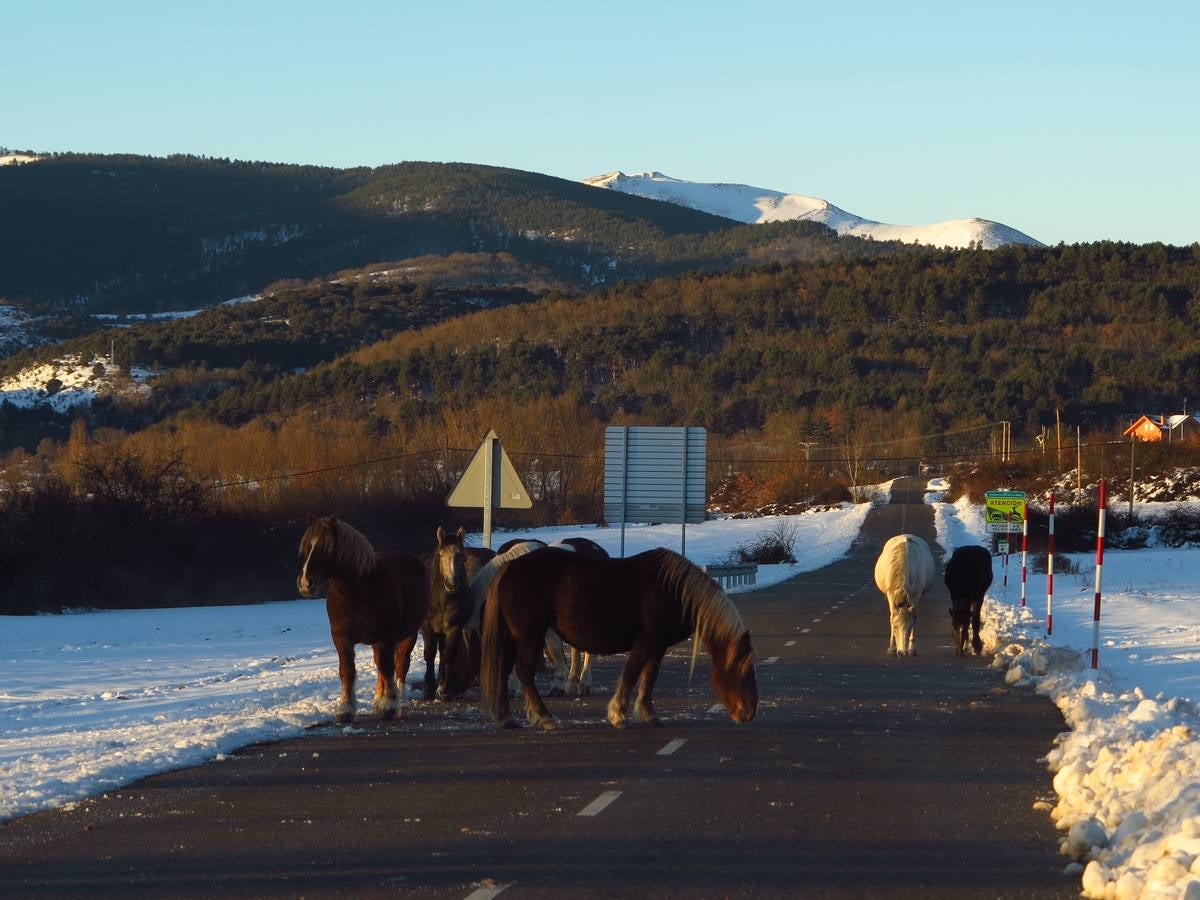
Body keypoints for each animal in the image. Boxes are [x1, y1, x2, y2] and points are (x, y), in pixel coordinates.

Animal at [295, 513, 427, 724]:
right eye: (307, 546)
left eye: (325, 548)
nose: (306, 582)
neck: (357, 592)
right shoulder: (342, 638)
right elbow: (347, 671)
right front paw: (346, 710)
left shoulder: (386, 637)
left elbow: (388, 668)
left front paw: (388, 706)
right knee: (381, 667)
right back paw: (378, 701)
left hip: (408, 635)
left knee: (400, 667)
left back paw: (401, 705)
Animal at [424, 528, 494, 705]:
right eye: (441, 554)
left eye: (460, 555)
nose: (451, 584)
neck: (441, 601)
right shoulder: (427, 627)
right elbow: (429, 654)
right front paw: (428, 689)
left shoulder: (453, 628)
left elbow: (448, 655)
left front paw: (443, 690)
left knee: (444, 652)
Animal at [480, 549, 753, 734]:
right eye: (744, 668)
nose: (748, 712)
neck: (672, 589)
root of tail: (510, 567)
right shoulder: (645, 644)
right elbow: (631, 675)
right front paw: (618, 714)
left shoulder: (657, 647)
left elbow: (648, 678)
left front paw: (648, 715)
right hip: (530, 635)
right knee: (524, 670)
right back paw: (543, 716)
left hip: (513, 637)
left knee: (504, 670)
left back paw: (506, 718)